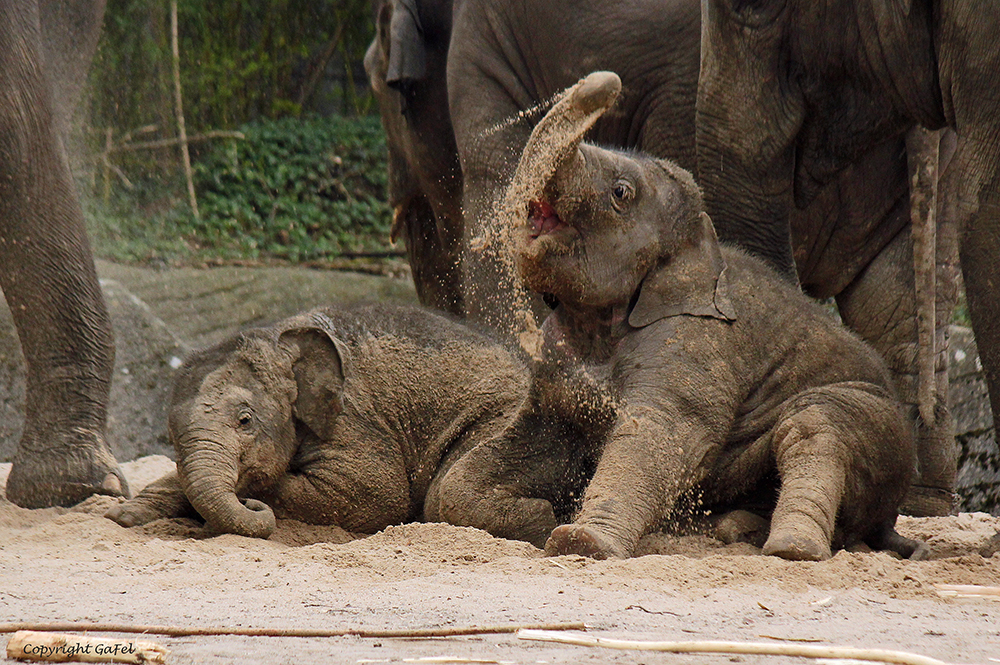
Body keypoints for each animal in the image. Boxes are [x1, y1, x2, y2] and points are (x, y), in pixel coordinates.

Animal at [107, 304, 532, 536]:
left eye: (245, 420)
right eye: (172, 437)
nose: (244, 500)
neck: (280, 338)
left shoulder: (351, 419)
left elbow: (376, 494)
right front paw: (125, 515)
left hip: (501, 420)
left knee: (446, 494)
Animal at [438, 71, 928, 560]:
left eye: (621, 192)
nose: (607, 81)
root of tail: (891, 520)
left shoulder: (696, 342)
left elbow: (664, 433)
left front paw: (579, 541)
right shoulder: (553, 361)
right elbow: (509, 452)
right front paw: (541, 518)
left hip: (875, 420)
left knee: (813, 428)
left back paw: (791, 549)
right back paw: (736, 529)